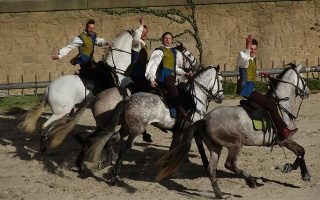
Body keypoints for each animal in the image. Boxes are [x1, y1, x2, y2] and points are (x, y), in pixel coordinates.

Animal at [156, 63, 312, 198]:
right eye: (303, 79)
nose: (307, 92)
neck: (282, 106)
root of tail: (205, 119)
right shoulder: (284, 139)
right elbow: (301, 151)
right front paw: (294, 168)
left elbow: (301, 151)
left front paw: (304, 174)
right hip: (235, 144)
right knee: (229, 164)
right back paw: (251, 181)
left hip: (215, 148)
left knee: (211, 169)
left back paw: (219, 194)